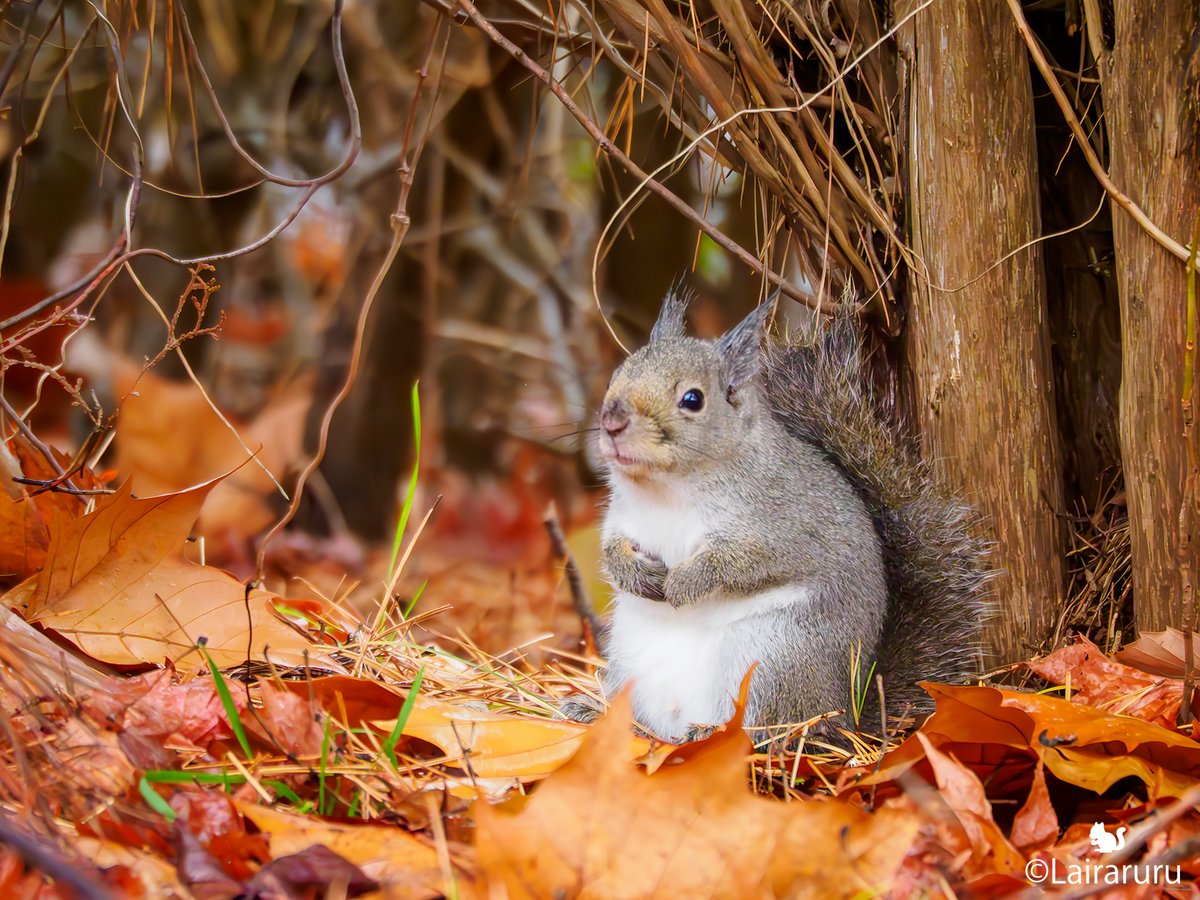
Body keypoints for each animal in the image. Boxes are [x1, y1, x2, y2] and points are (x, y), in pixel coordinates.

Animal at [563, 286, 990, 746]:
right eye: (616, 376)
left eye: (692, 399)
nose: (612, 422)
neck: (667, 489)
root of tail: (847, 716)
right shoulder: (623, 518)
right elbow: (611, 549)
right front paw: (634, 572)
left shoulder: (781, 524)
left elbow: (739, 562)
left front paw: (686, 581)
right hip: (631, 655)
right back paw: (596, 712)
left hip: (773, 657)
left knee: (767, 732)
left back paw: (713, 733)